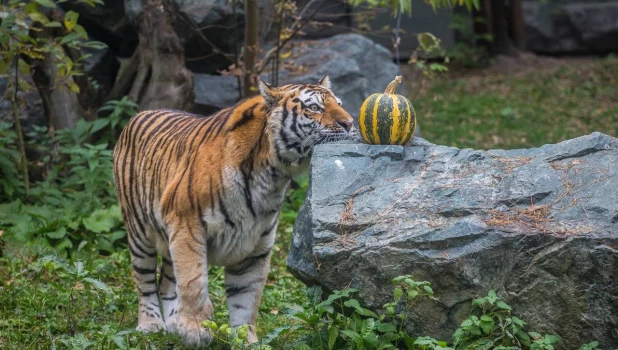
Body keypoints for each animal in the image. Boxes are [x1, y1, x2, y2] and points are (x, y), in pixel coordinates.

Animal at [110, 76, 352, 348]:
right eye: (314, 108)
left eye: (339, 104)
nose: (350, 123)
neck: (272, 175)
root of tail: (139, 114)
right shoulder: (188, 228)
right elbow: (194, 284)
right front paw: (196, 331)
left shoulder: (255, 247)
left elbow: (246, 299)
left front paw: (246, 340)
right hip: (139, 234)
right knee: (146, 282)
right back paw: (150, 325)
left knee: (168, 282)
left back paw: (173, 323)